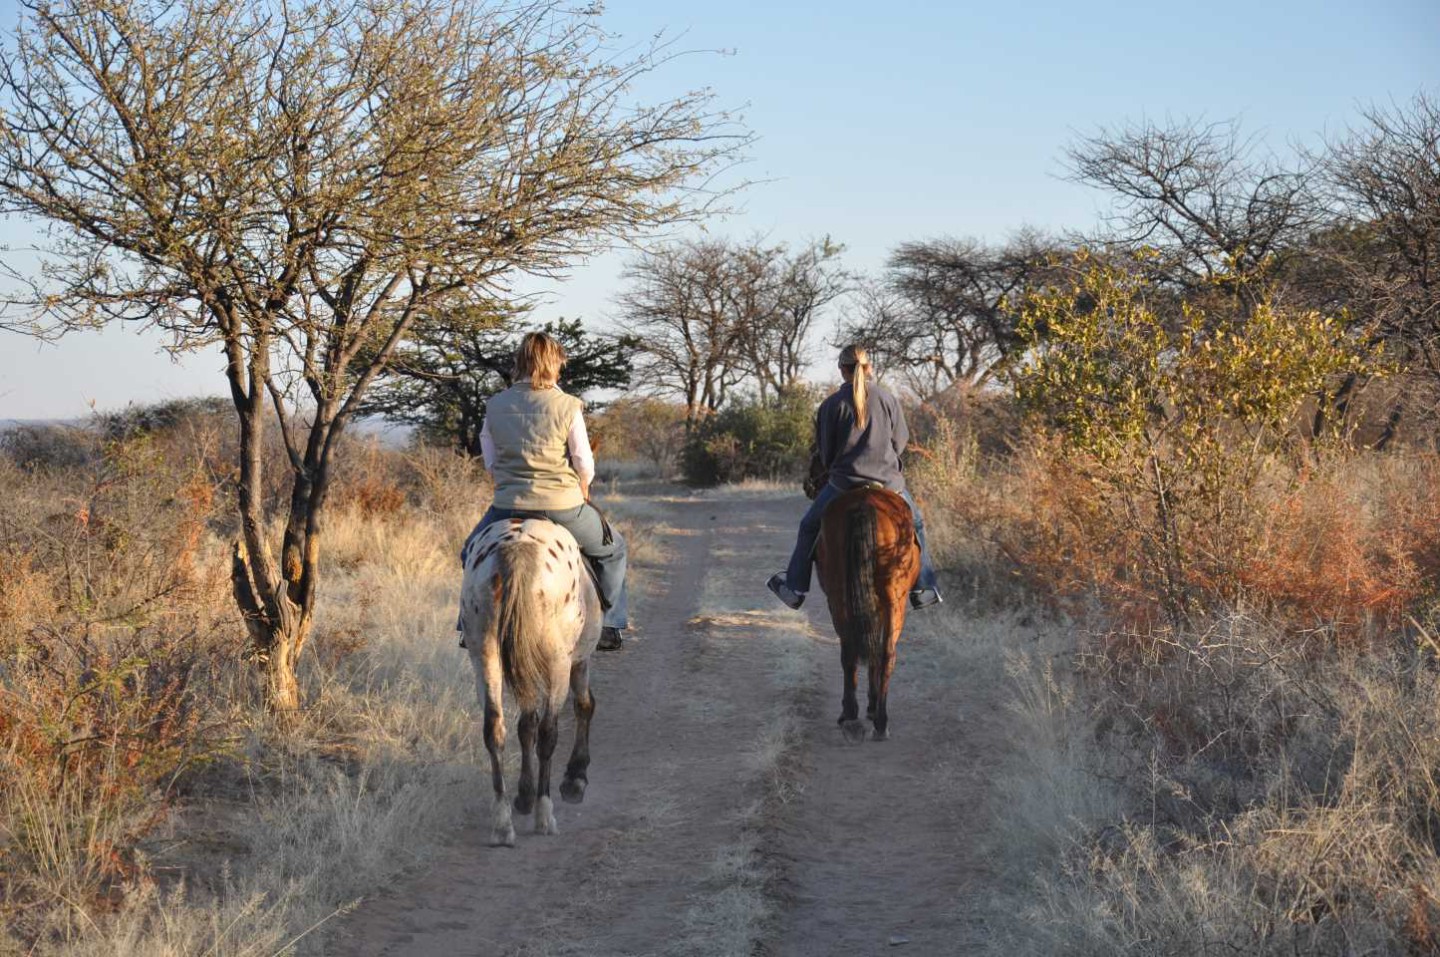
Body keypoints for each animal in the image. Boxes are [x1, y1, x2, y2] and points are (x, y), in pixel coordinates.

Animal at [457, 515, 599, 846]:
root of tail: (516, 549)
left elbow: (525, 726)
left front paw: (523, 794)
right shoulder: (578, 659)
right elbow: (583, 706)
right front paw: (575, 778)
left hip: (484, 654)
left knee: (495, 728)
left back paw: (502, 824)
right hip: (558, 662)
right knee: (548, 732)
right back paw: (544, 815)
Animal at [817, 489, 915, 742]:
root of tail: (864, 500)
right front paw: (871, 705)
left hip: (841, 596)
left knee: (855, 651)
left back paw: (857, 717)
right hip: (894, 599)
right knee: (883, 652)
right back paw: (875, 720)